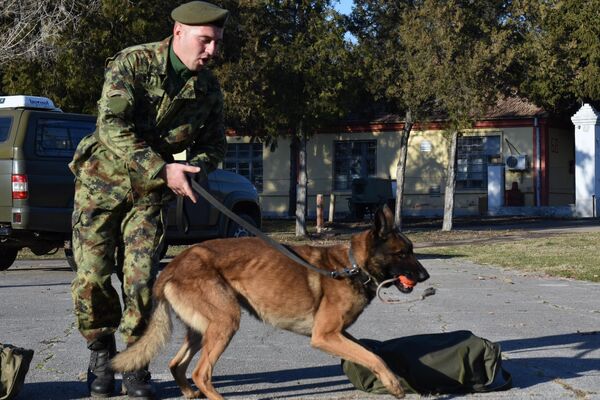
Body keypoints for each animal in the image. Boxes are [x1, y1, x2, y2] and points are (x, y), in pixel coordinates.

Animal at [111, 205, 432, 398]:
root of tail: (174, 265)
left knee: (177, 364)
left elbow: (369, 354)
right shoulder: (325, 336)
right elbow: (374, 357)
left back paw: (188, 392)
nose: (425, 275)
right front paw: (394, 384)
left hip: (202, 330)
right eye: (402, 253)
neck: (353, 266)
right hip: (225, 323)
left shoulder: (340, 334)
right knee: (201, 373)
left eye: (411, 250)